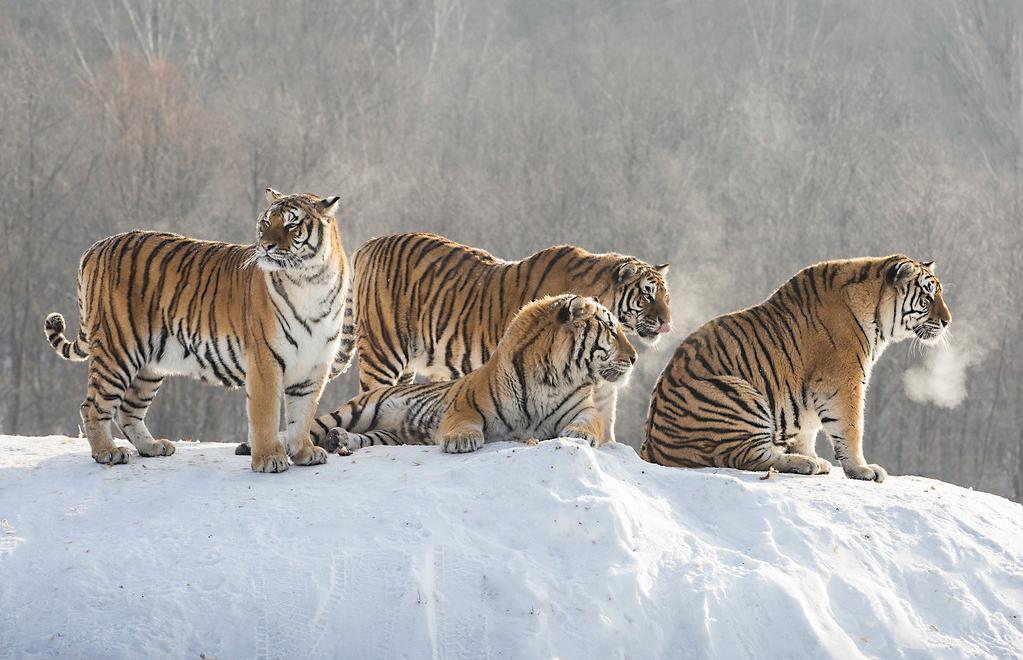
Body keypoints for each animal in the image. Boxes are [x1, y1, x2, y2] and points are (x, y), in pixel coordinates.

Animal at [43, 188, 353, 470]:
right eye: (266, 222)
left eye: (291, 224)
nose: (265, 246)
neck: (310, 281)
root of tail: (96, 247)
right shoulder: (265, 360)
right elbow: (265, 414)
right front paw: (269, 459)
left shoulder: (315, 363)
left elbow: (302, 414)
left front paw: (304, 452)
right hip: (118, 348)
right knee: (93, 406)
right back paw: (107, 452)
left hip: (150, 363)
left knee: (129, 410)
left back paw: (152, 447)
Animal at [306, 296, 634, 456]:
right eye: (610, 328)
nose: (634, 358)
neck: (552, 379)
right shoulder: (466, 405)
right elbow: (464, 421)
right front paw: (462, 440)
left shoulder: (585, 409)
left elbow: (589, 423)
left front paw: (578, 434)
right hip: (355, 410)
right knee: (314, 426)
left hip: (388, 436)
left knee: (365, 438)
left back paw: (339, 440)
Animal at [331, 231, 671, 442]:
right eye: (647, 294)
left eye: (666, 296)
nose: (668, 324)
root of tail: (370, 244)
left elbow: (603, 414)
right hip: (383, 351)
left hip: (408, 364)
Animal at [638, 254, 949, 480]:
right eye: (928, 297)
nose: (948, 321)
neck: (877, 316)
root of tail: (650, 447)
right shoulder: (844, 381)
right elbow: (851, 429)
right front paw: (862, 470)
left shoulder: (808, 393)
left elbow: (807, 429)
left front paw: (814, 456)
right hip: (737, 395)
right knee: (746, 457)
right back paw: (801, 464)